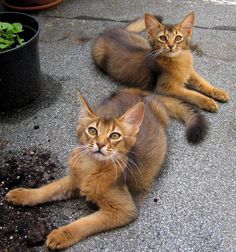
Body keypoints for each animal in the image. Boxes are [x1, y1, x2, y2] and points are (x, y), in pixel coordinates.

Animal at [6, 88, 207, 250]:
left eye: (115, 136)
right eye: (92, 131)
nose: (100, 145)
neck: (91, 167)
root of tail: (145, 96)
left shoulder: (123, 210)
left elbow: (84, 223)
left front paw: (61, 235)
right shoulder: (73, 180)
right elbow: (48, 189)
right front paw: (22, 194)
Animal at [93, 11, 230, 112]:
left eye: (178, 38)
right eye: (162, 38)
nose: (170, 46)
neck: (179, 60)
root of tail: (108, 32)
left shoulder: (191, 73)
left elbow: (204, 82)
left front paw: (218, 92)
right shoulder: (165, 87)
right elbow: (190, 93)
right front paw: (207, 101)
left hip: (142, 41)